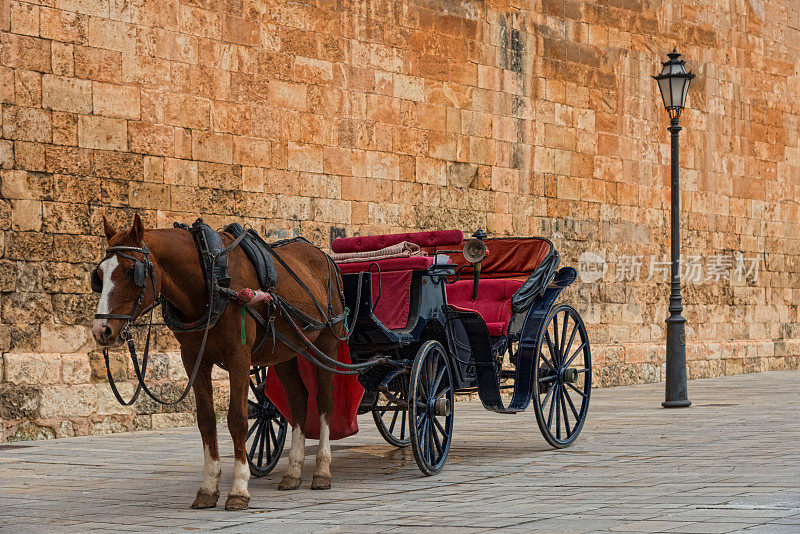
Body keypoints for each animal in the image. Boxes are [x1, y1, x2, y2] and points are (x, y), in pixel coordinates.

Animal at [91, 216, 346, 512]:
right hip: (286, 351)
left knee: (325, 402)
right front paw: (209, 487)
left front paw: (239, 489)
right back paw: (293, 473)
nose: (101, 329)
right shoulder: (193, 358)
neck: (211, 277)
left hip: (328, 343)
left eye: (133, 271)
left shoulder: (239, 355)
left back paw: (322, 471)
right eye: (99, 275)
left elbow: (237, 419)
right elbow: (206, 420)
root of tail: (325, 257)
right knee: (298, 401)